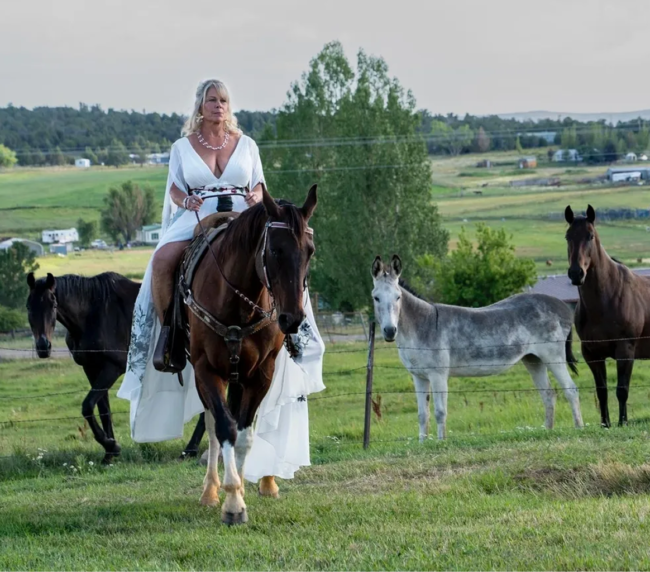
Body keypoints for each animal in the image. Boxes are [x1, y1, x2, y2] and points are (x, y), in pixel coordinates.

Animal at [26, 271, 206, 464]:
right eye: (28, 307)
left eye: (53, 305)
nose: (43, 347)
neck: (92, 314)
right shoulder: (91, 368)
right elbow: (103, 410)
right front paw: (109, 453)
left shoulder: (112, 368)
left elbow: (87, 405)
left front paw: (111, 445)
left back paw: (190, 450)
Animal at [187, 184, 316, 525]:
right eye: (275, 250)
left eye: (310, 251)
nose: (292, 318)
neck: (237, 304)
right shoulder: (206, 371)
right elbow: (223, 428)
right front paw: (232, 502)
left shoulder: (260, 375)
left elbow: (244, 433)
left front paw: (239, 492)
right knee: (212, 425)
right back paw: (210, 490)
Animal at [371, 255, 584, 441]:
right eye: (376, 298)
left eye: (398, 297)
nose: (390, 331)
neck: (422, 325)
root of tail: (561, 305)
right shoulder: (419, 376)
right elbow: (423, 415)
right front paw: (423, 445)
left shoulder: (438, 374)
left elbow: (440, 412)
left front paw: (441, 443)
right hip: (533, 359)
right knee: (548, 394)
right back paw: (548, 431)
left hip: (553, 356)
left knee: (571, 390)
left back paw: (579, 429)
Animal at [565, 205, 650, 427]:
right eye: (568, 236)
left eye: (590, 236)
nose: (576, 273)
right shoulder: (592, 354)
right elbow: (602, 391)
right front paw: (606, 424)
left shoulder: (625, 350)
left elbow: (622, 390)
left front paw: (622, 422)